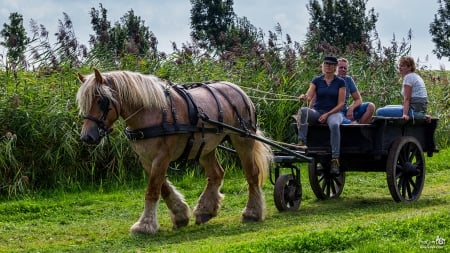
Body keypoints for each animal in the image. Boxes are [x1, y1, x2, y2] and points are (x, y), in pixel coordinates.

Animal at [76, 69, 272, 235]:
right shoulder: (147, 159)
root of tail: (238, 90)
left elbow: (153, 190)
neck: (150, 112)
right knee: (216, 174)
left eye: (101, 101)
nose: (87, 137)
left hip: (242, 139)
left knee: (252, 174)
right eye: (84, 103)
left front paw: (145, 225)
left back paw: (252, 213)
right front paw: (180, 215)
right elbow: (162, 187)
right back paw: (205, 210)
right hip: (205, 146)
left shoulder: (162, 157)